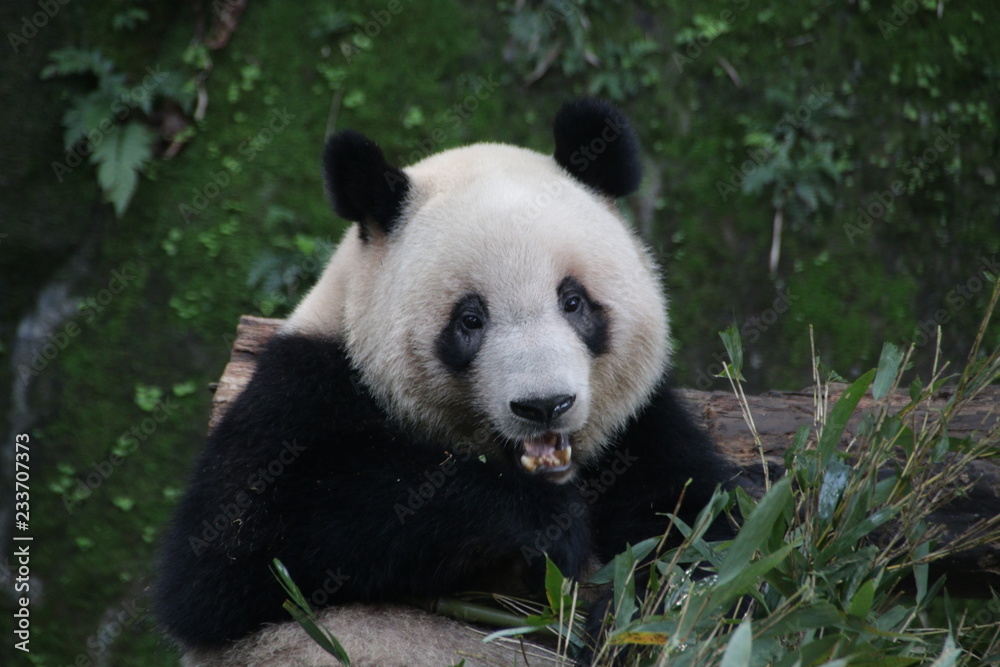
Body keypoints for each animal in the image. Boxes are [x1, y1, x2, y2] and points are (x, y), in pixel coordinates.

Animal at [158, 100, 736, 667]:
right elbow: (230, 551)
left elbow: (709, 532)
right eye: (470, 320)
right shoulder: (303, 386)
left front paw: (634, 622)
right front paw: (548, 525)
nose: (544, 405)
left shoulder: (641, 428)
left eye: (573, 301)